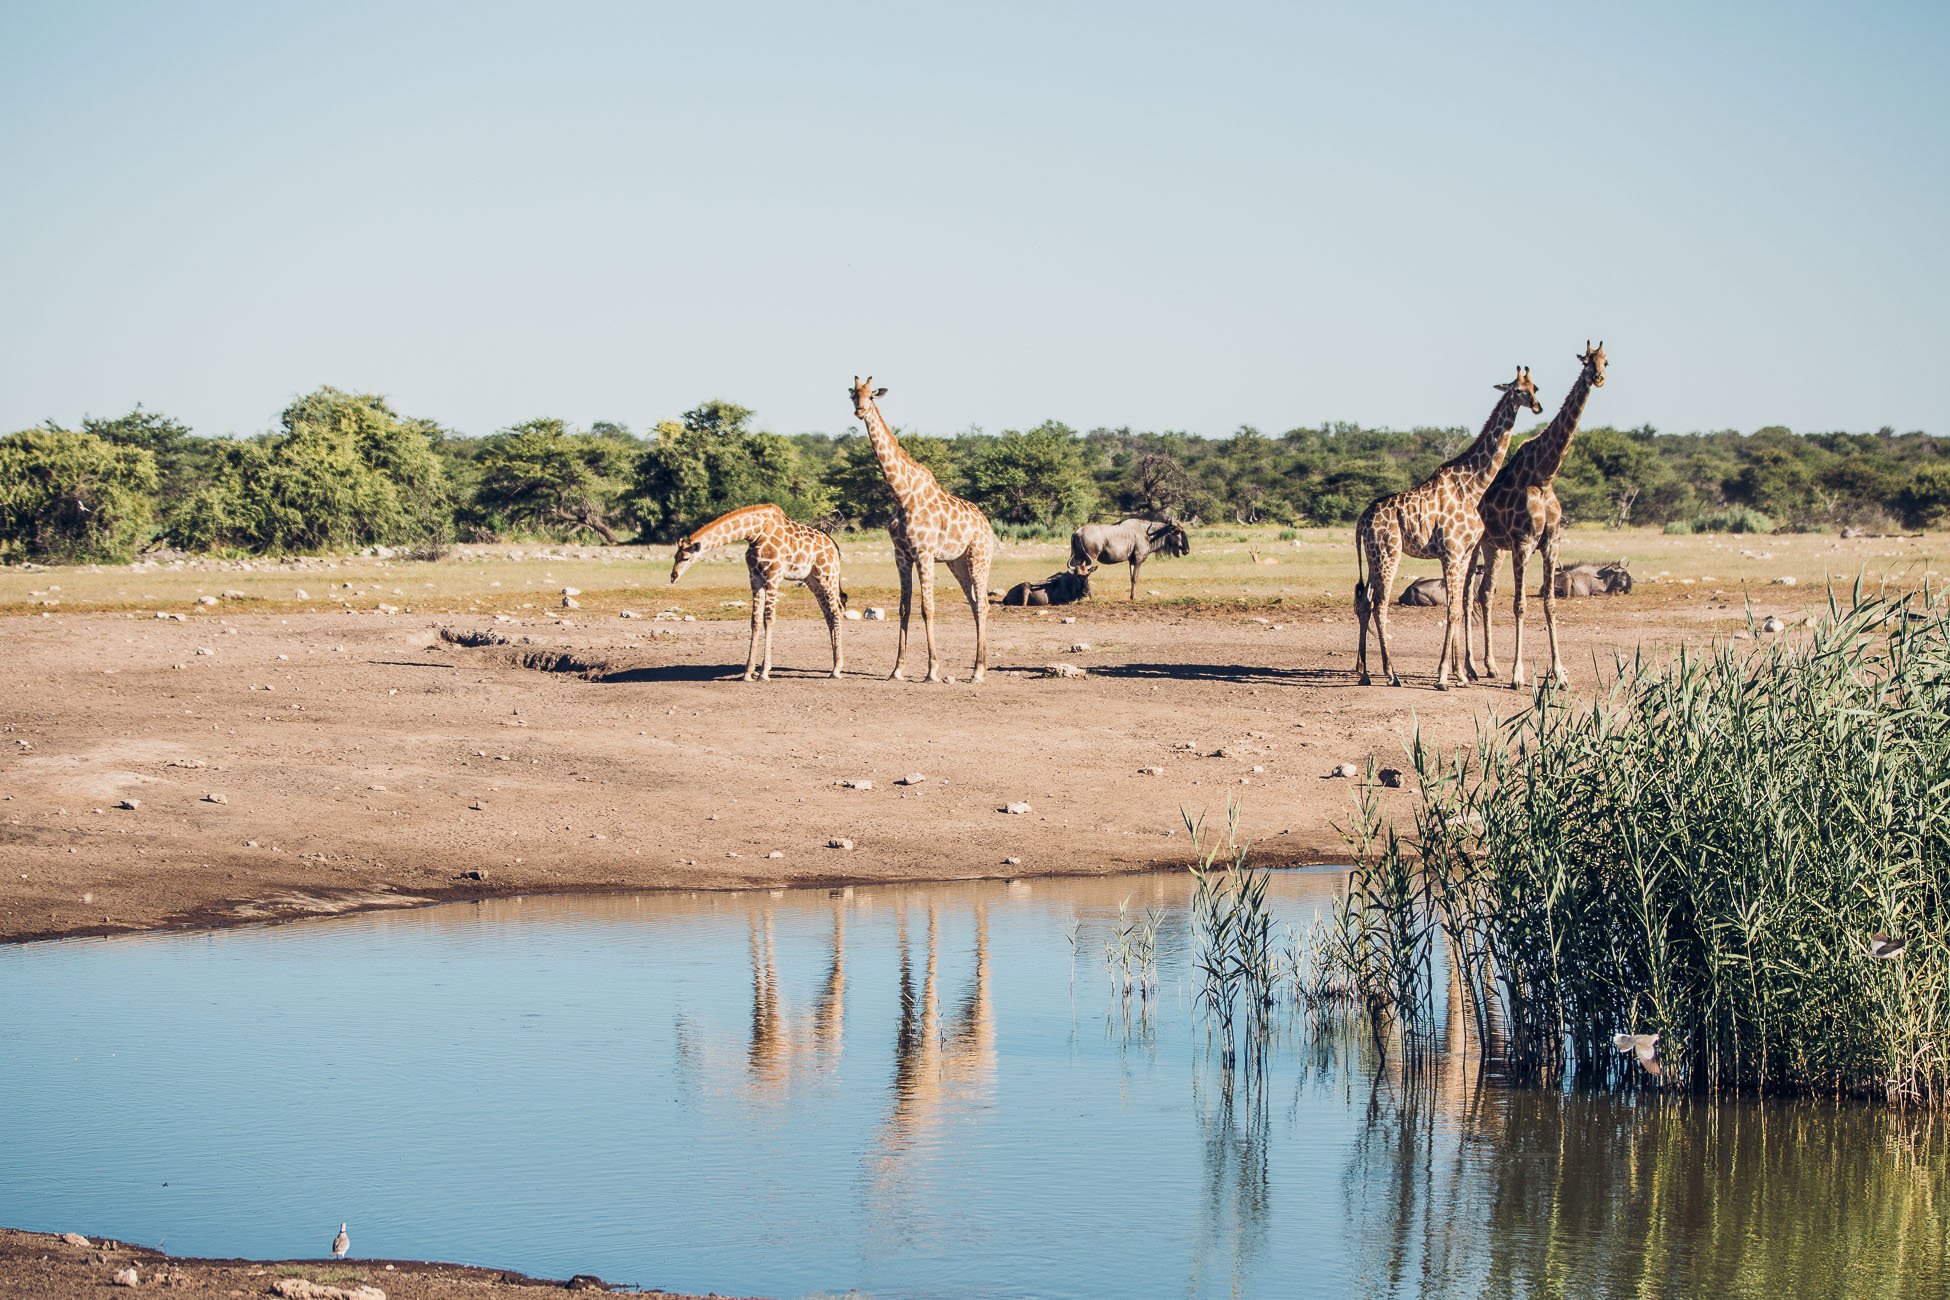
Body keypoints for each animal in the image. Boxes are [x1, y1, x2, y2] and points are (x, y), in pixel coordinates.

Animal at [670, 502, 846, 682]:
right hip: (812, 580)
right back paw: (834, 666)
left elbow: (768, 619)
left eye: (685, 558)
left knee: (837, 612)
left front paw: (764, 672)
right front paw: (748, 672)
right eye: (674, 556)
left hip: (827, 575)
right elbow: (755, 621)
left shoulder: (773, 576)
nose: (673, 576)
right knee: (829, 614)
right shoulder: (755, 578)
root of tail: (834, 546)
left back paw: (836, 669)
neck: (755, 533)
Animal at [850, 374, 998, 686]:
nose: (859, 410)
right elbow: (904, 608)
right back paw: (980, 667)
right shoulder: (901, 556)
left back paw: (978, 672)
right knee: (974, 603)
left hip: (979, 556)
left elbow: (927, 608)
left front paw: (932, 670)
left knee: (982, 604)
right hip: (957, 562)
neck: (901, 494)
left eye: (871, 396)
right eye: (853, 395)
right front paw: (897, 670)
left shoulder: (925, 553)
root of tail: (985, 523)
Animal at [1349, 366, 1544, 689]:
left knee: (1365, 602)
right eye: (1518, 390)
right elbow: (1452, 609)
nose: (1538, 406)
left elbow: (1457, 609)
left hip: (1374, 556)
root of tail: (1362, 521)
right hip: (1388, 553)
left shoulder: (1463, 555)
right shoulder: (1451, 552)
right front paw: (1443, 677)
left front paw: (1462, 676)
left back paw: (1365, 673)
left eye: (1535, 388)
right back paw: (1392, 674)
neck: (1473, 487)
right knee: (1380, 605)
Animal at [1466, 344, 1606, 689]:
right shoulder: (1523, 543)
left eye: (1606, 361)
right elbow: (1520, 604)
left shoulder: (1551, 544)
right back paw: (1471, 667)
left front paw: (1559, 672)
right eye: (1586, 361)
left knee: (1485, 594)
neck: (1544, 474)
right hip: (1474, 547)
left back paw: (1489, 666)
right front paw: (1518, 674)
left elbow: (1550, 603)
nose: (1598, 377)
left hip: (1493, 548)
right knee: (1464, 597)